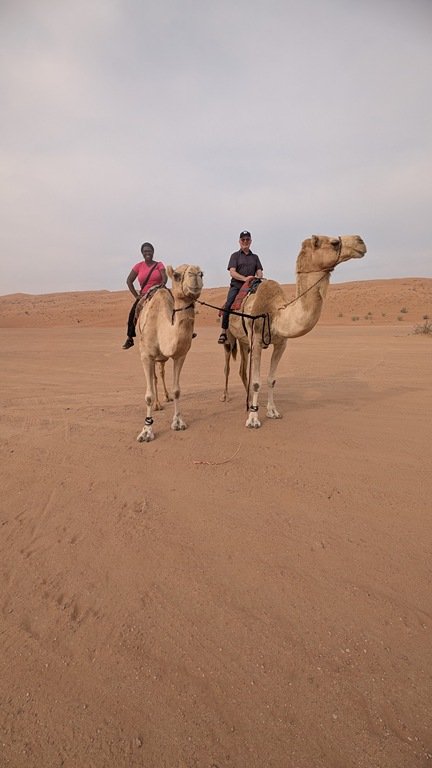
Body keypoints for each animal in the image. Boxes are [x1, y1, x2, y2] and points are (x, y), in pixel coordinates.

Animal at [135, 264, 203, 442]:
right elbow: (148, 395)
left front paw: (178, 422)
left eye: (202, 273)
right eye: (177, 275)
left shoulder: (180, 355)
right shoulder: (146, 356)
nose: (195, 274)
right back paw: (158, 404)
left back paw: (166, 397)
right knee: (154, 378)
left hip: (161, 358)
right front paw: (146, 431)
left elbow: (177, 390)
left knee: (161, 372)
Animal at [222, 234, 367, 428]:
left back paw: (249, 401)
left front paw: (272, 411)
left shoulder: (281, 343)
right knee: (228, 366)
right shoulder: (257, 340)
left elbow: (271, 379)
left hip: (244, 341)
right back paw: (226, 397)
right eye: (334, 242)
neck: (275, 312)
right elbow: (256, 382)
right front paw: (253, 419)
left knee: (243, 370)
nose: (360, 241)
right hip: (230, 338)